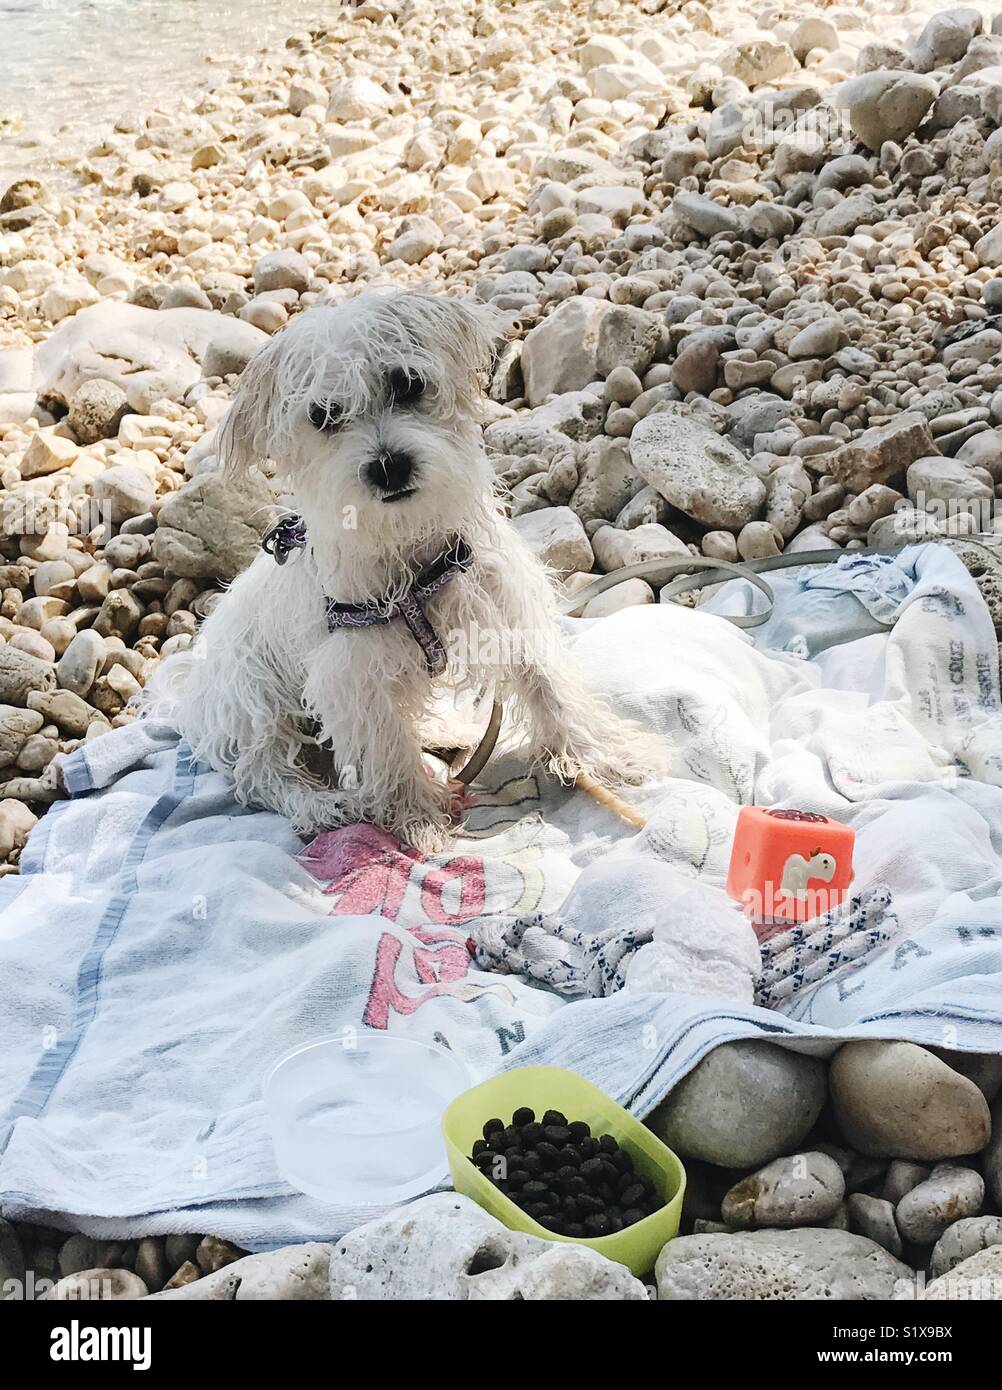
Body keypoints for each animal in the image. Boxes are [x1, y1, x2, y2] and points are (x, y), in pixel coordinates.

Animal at [150, 290, 664, 845]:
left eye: (408, 384)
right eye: (323, 415)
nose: (388, 466)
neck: (410, 554)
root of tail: (189, 692)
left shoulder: (508, 613)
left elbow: (552, 691)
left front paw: (606, 756)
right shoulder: (354, 676)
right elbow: (389, 750)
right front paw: (419, 822)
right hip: (253, 701)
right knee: (262, 772)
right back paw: (322, 806)